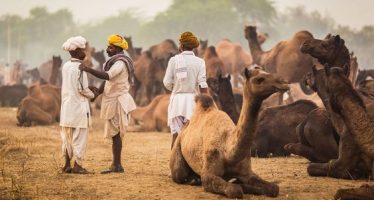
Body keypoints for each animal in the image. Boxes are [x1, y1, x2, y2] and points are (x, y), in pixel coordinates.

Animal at [170, 67, 290, 198]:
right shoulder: (208, 175)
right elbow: (234, 190)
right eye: (259, 79)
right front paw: (239, 185)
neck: (227, 150)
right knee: (179, 174)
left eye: (268, 72)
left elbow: (274, 188)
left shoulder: (247, 172)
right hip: (177, 157)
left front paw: (241, 183)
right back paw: (193, 180)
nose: (284, 83)